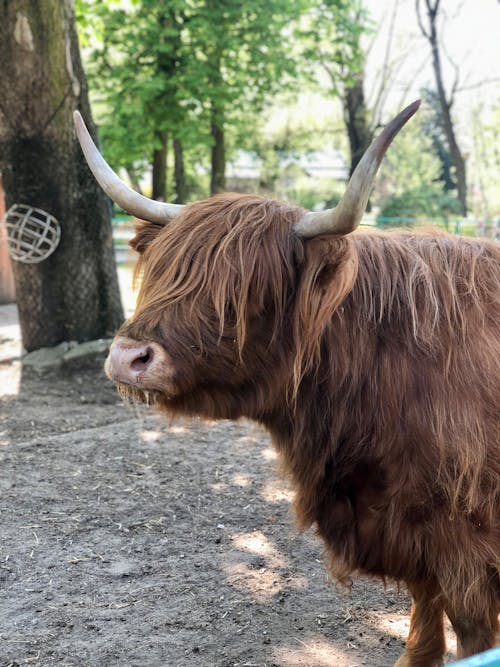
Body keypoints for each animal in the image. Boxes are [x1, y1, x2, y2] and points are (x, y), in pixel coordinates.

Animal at [75, 100, 500, 667]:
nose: (127, 358)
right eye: (163, 270)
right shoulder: (412, 534)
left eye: (244, 290)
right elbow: (423, 622)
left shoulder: (466, 546)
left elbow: (472, 636)